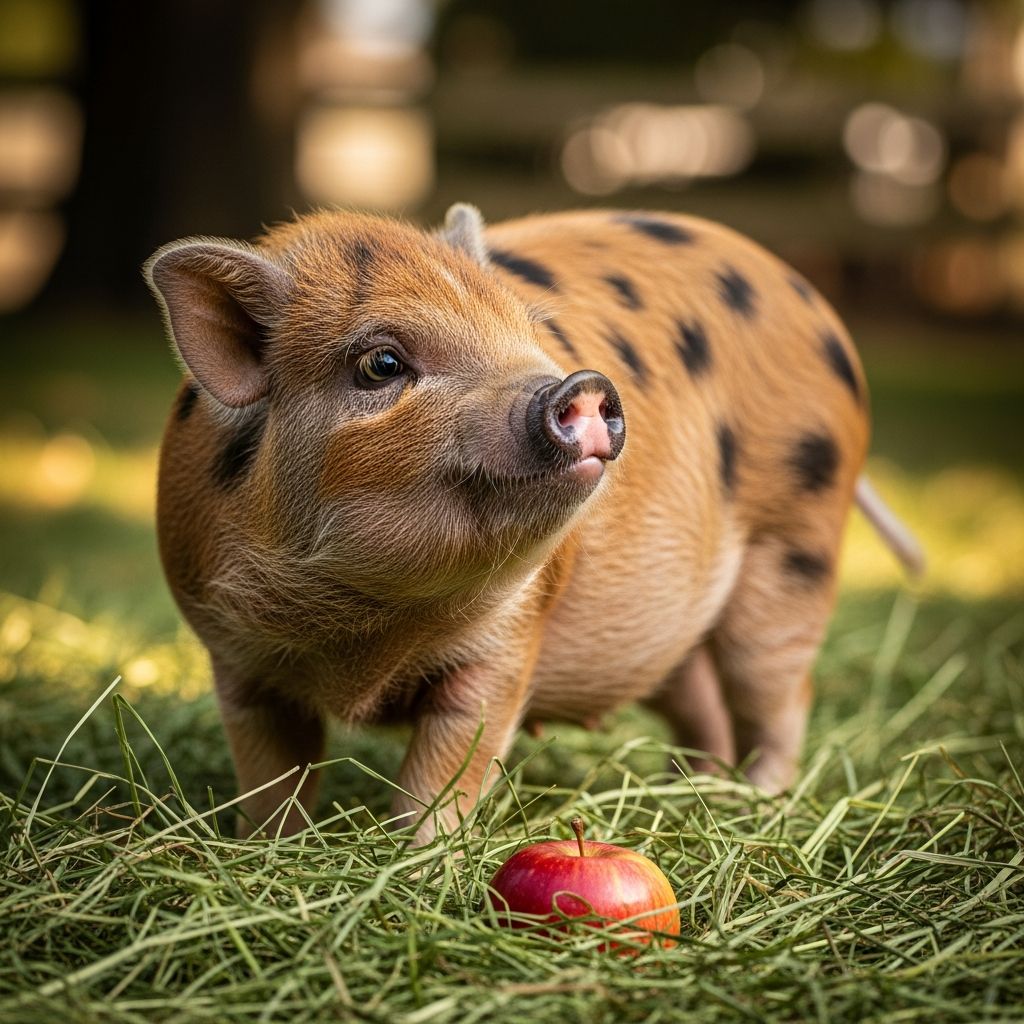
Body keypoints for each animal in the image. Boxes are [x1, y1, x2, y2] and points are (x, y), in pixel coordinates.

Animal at [145, 204, 922, 841]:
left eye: (528, 331)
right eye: (382, 363)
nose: (583, 384)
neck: (357, 633)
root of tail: (812, 302)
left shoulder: (504, 647)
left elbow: (449, 769)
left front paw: (416, 862)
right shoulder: (235, 657)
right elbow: (270, 774)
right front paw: (267, 851)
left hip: (796, 542)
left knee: (782, 693)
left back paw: (754, 805)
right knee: (700, 693)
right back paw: (697, 787)